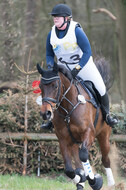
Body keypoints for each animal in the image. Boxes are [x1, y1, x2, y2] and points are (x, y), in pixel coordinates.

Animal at [36, 58, 115, 190]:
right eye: (40, 86)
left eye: (55, 86)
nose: (45, 114)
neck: (68, 109)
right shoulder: (63, 140)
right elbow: (69, 169)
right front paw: (81, 177)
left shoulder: (89, 133)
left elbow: (83, 155)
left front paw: (95, 181)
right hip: (75, 141)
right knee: (79, 161)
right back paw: (81, 182)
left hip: (104, 135)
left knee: (105, 159)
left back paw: (111, 183)